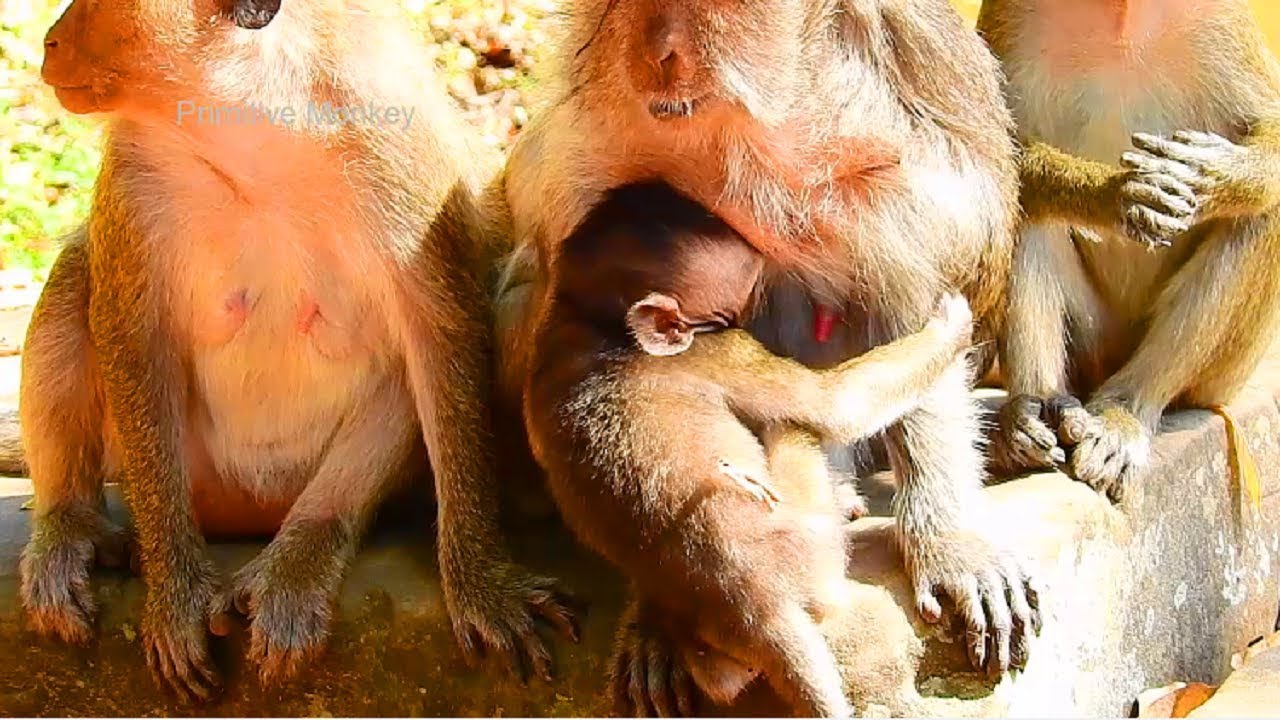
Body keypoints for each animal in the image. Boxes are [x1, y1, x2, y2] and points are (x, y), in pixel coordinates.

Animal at [21, 0, 573, 702]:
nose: (52, 42)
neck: (257, 137)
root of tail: (251, 517)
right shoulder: (134, 171)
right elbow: (130, 334)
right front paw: (176, 594)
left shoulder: (399, 164)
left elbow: (442, 339)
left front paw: (480, 578)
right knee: (76, 272)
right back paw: (70, 524)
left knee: (402, 381)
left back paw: (302, 553)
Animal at [523, 181, 976, 717]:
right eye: (726, 315)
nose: (746, 318)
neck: (591, 318)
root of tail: (757, 612)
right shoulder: (720, 350)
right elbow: (830, 405)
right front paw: (950, 323)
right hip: (814, 550)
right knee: (794, 427)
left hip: (718, 654)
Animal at [978, 0, 1280, 502]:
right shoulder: (1011, 15)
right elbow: (996, 149)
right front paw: (1114, 194)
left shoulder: (1224, 18)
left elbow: (1268, 125)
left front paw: (1213, 174)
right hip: (1090, 348)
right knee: (1026, 206)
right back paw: (1035, 412)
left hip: (1219, 379)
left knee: (1259, 215)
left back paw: (1126, 411)